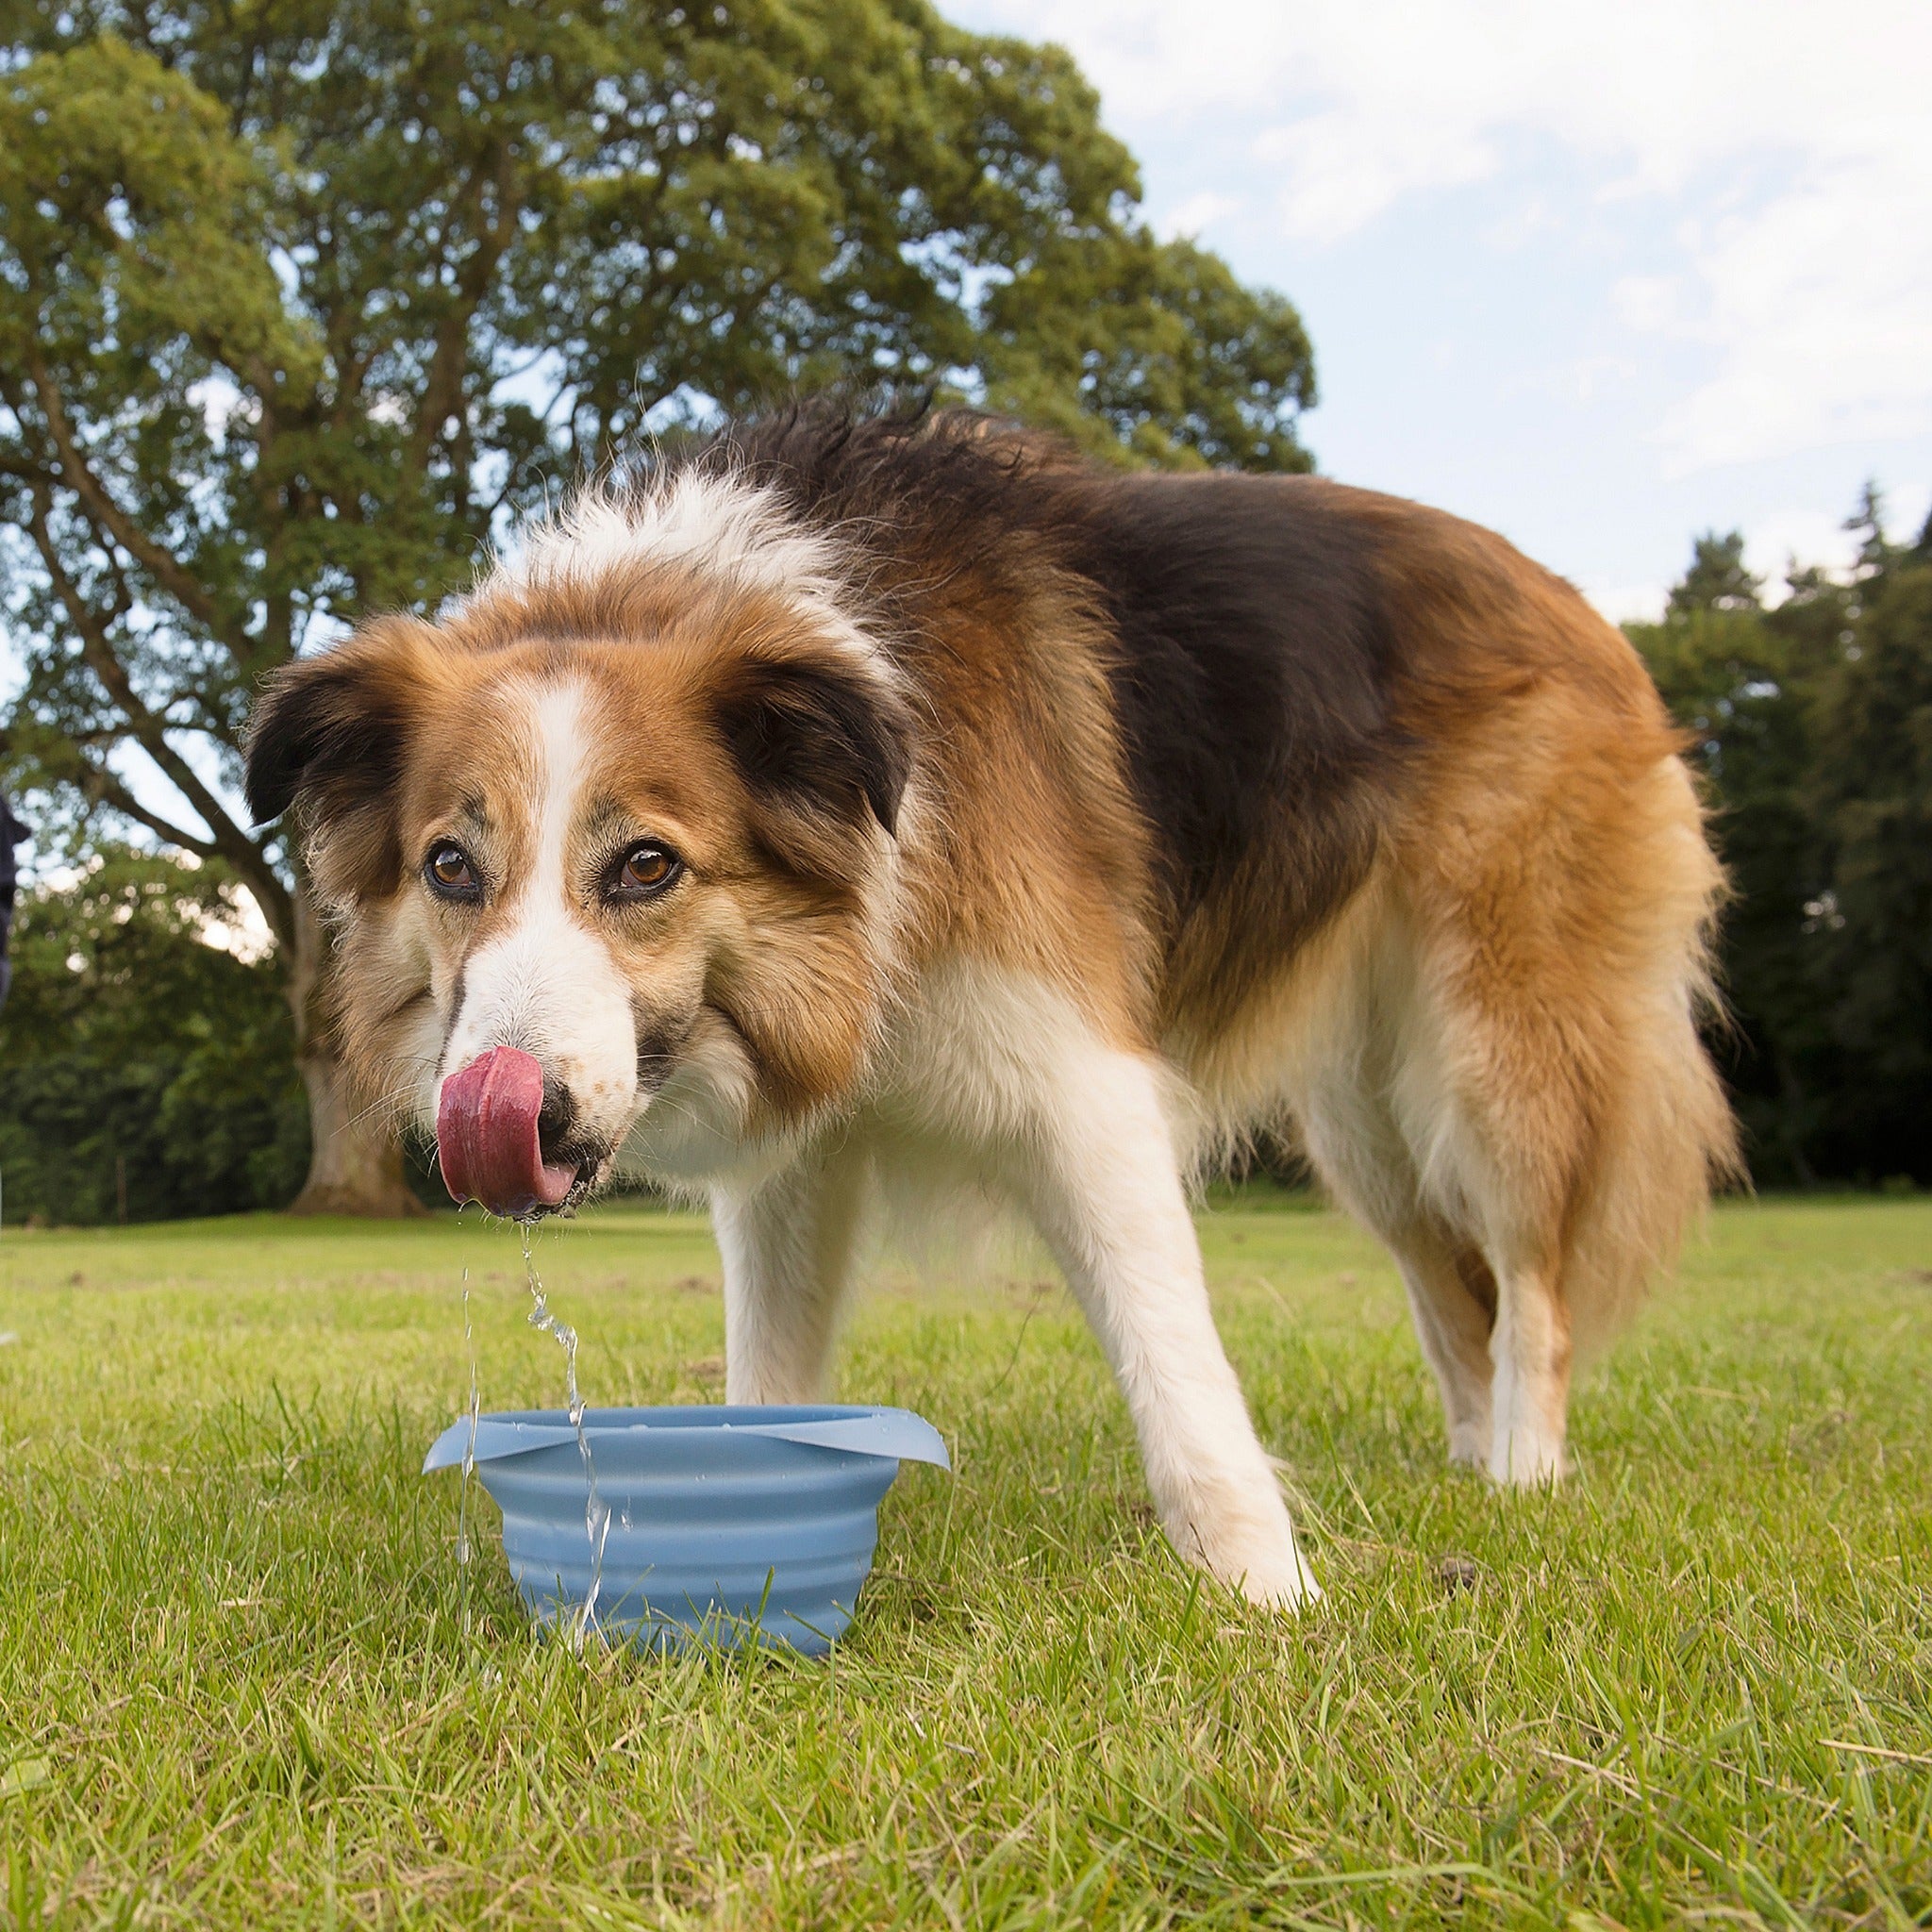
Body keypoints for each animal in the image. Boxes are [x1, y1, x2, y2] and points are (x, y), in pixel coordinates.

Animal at [242, 404, 1739, 1599]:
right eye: (451, 865)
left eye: (646, 865)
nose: (513, 1119)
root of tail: (1575, 602)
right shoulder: (799, 1162)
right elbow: (766, 1380)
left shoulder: (1085, 1090)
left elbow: (1179, 1369)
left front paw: (1269, 1595)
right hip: (1363, 1114)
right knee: (1447, 1286)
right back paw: (1466, 1461)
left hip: (1488, 1055)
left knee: (1529, 1283)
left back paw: (1521, 1478)